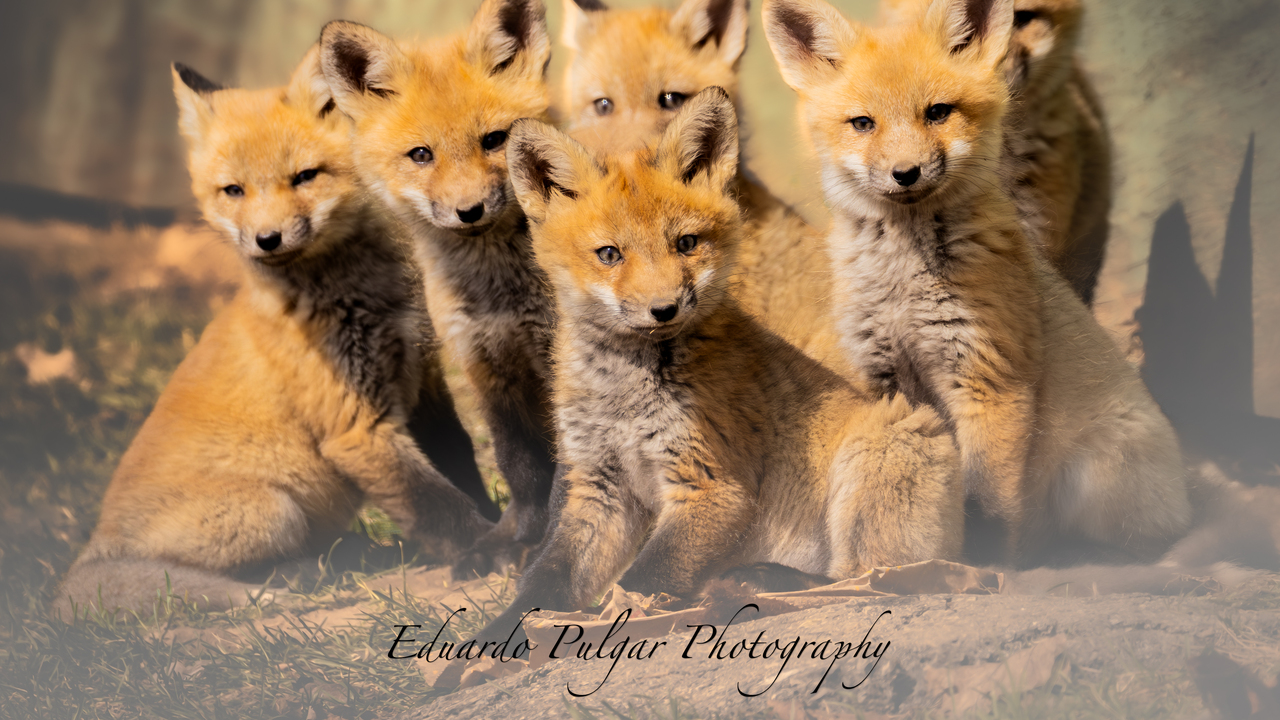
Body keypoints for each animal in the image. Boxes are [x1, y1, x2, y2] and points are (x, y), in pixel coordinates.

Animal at [50, 48, 496, 620]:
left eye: (304, 177)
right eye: (234, 191)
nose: (268, 239)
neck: (358, 296)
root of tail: (92, 551)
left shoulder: (423, 382)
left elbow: (462, 469)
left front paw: (505, 528)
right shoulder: (357, 427)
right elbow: (438, 505)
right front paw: (491, 551)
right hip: (272, 509)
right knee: (208, 582)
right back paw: (307, 574)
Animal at [318, 0, 559, 576]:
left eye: (494, 140)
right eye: (421, 154)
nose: (469, 210)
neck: (499, 295)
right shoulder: (485, 364)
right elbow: (521, 466)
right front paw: (517, 540)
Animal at [475, 88, 963, 638]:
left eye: (686, 243)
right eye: (609, 254)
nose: (664, 309)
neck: (625, 395)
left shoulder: (711, 487)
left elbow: (641, 583)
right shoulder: (597, 486)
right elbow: (544, 582)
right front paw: (489, 642)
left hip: (887, 442)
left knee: (869, 576)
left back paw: (760, 580)